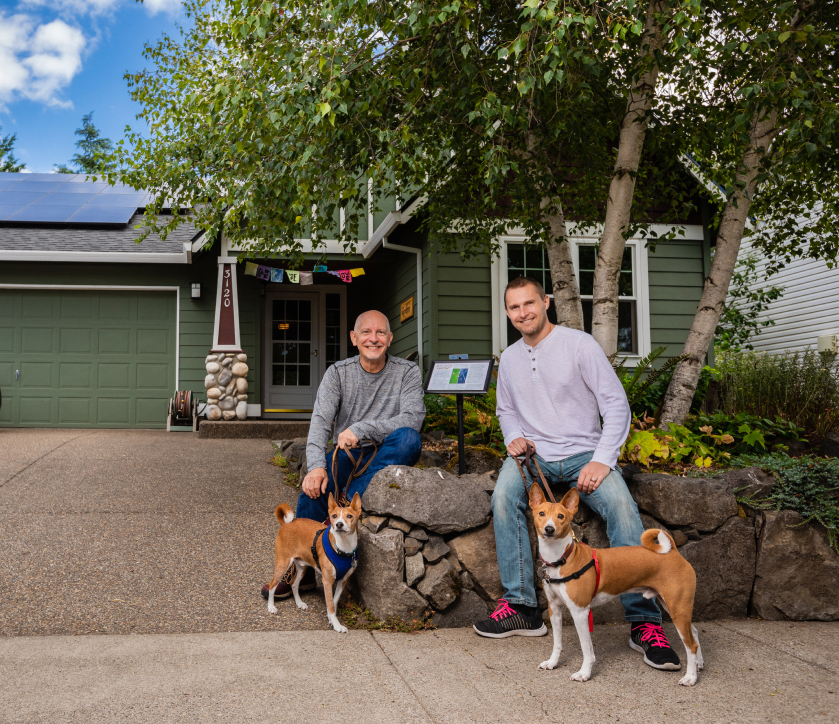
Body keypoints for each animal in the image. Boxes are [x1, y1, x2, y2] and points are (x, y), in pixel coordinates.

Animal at [268, 492, 362, 632]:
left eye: (349, 516)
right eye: (334, 516)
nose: (339, 524)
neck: (344, 548)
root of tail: (286, 524)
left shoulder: (342, 581)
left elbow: (333, 603)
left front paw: (331, 620)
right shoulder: (327, 581)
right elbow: (330, 605)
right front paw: (337, 625)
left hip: (301, 568)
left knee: (294, 584)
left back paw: (299, 603)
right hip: (283, 564)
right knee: (272, 585)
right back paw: (271, 607)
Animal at [532, 480, 704, 684]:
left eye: (561, 516)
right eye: (542, 514)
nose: (549, 529)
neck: (561, 559)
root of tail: (674, 552)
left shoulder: (580, 611)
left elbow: (587, 649)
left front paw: (584, 673)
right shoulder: (554, 609)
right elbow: (557, 643)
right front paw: (552, 663)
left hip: (677, 607)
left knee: (691, 645)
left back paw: (690, 677)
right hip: (674, 606)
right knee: (694, 632)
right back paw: (699, 665)